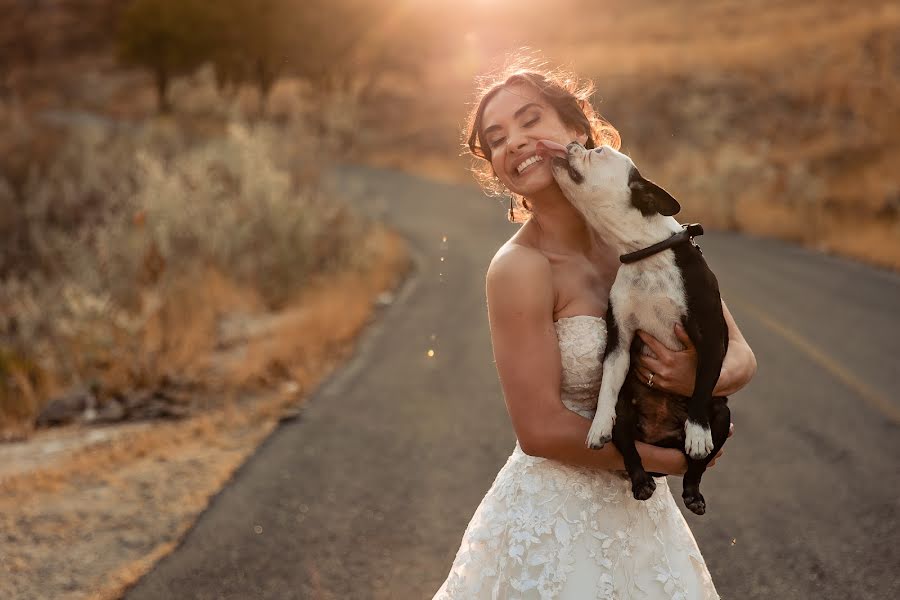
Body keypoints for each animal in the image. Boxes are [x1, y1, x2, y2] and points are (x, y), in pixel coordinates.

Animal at [536, 138, 732, 512]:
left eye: (597, 152)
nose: (573, 143)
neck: (646, 254)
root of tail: (659, 437)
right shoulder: (620, 342)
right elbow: (607, 387)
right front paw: (598, 426)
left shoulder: (713, 337)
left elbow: (701, 390)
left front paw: (698, 433)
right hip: (627, 412)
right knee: (628, 446)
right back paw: (641, 481)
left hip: (723, 414)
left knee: (695, 464)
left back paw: (693, 491)